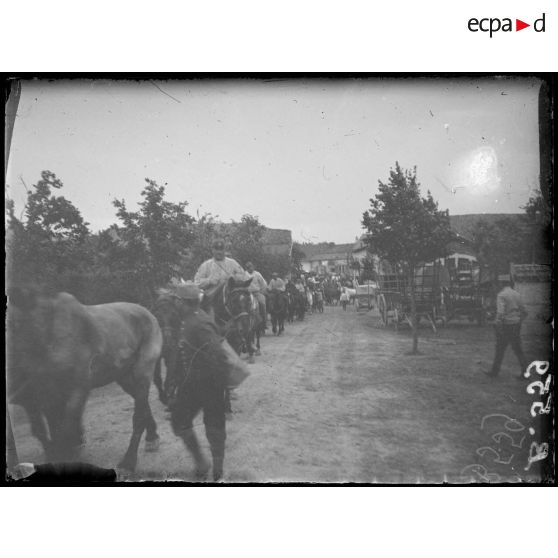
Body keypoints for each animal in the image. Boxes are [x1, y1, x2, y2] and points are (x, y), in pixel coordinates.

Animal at [7, 284, 163, 472]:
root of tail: (148, 312)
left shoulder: (77, 387)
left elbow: (65, 429)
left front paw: (67, 454)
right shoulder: (37, 397)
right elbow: (43, 430)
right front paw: (56, 454)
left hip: (144, 364)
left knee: (139, 407)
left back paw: (128, 463)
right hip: (123, 374)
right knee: (141, 400)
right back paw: (152, 437)